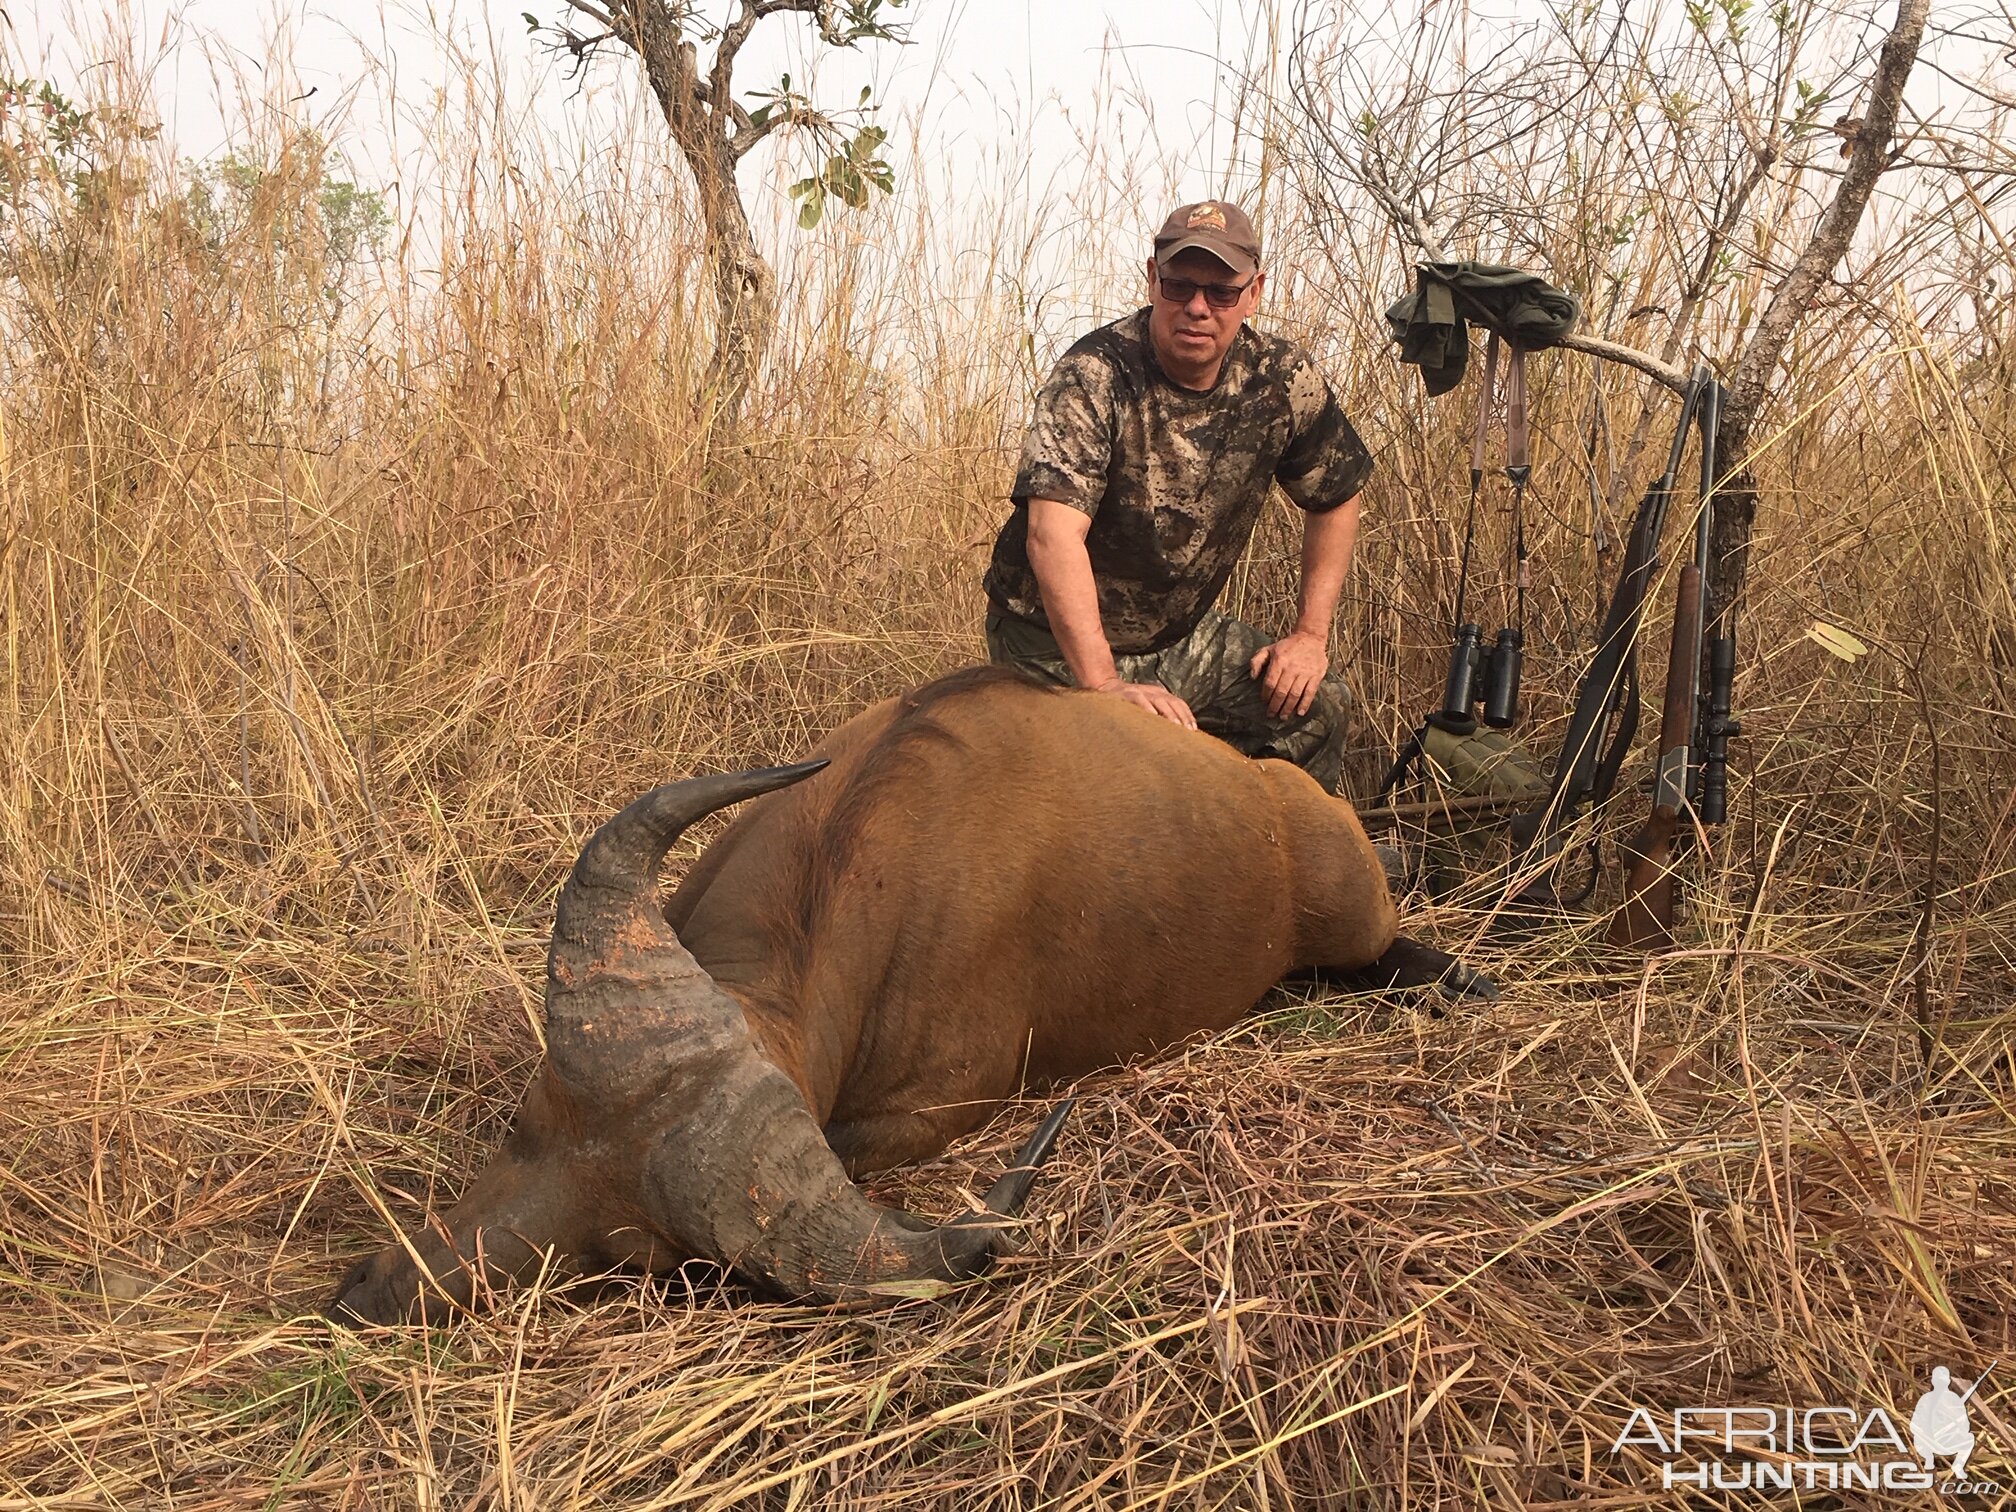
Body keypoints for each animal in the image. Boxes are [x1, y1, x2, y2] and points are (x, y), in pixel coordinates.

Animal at [330, 665, 1491, 1322]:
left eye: (631, 1255)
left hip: (1352, 919)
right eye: (526, 1121)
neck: (860, 852)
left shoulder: (931, 1112)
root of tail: (1281, 799)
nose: (368, 1302)